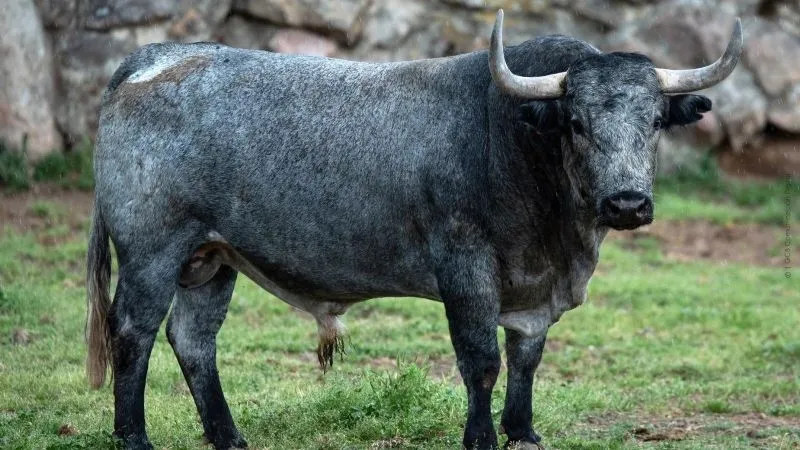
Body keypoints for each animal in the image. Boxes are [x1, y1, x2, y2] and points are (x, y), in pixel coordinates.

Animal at [85, 9, 742, 449]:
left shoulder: (533, 293)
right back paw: (134, 438)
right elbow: (481, 360)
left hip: (211, 258)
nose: (627, 203)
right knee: (133, 333)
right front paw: (481, 439)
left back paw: (230, 438)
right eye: (576, 123)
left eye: (654, 121)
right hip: (153, 252)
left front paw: (523, 433)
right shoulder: (465, 268)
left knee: (194, 340)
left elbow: (526, 358)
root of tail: (153, 58)